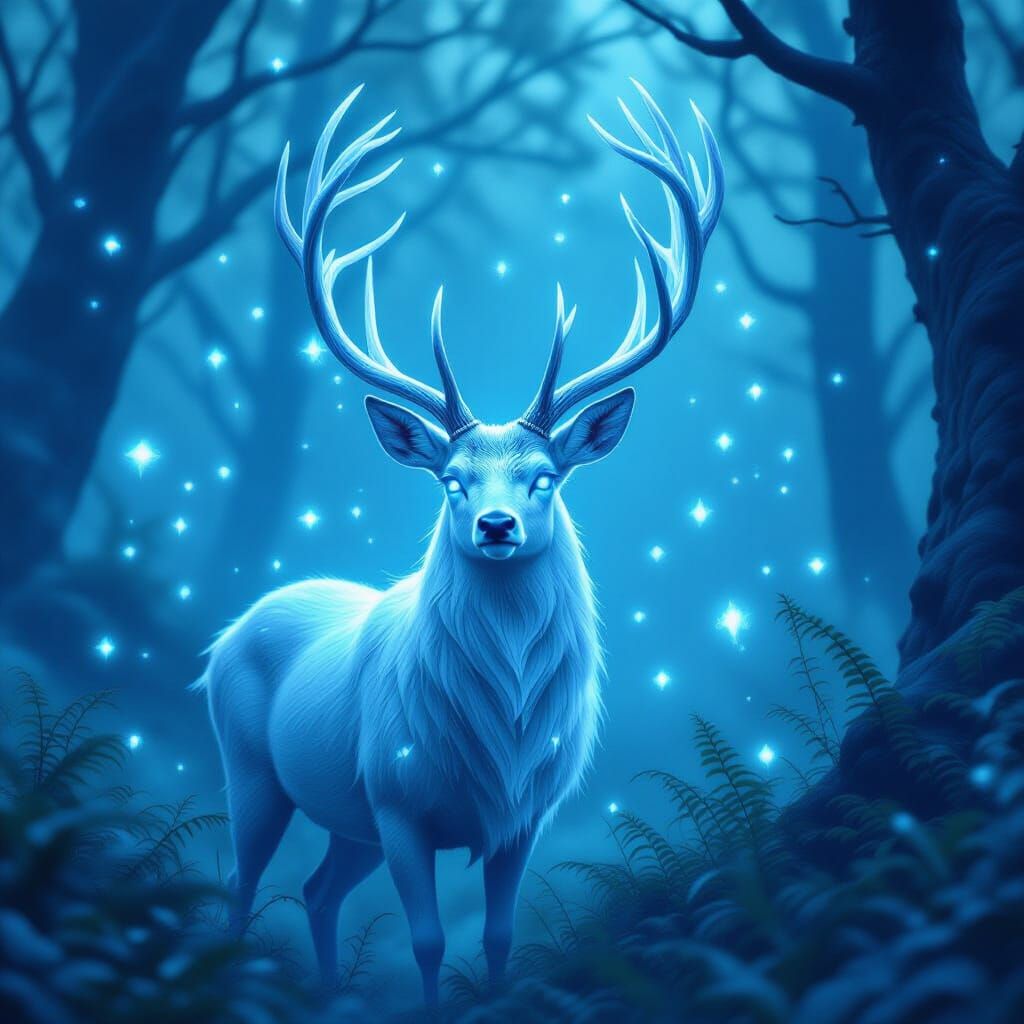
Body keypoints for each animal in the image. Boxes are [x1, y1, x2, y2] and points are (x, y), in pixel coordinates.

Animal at [197, 81, 722, 1005]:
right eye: (451, 479)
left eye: (546, 477)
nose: (496, 525)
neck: (497, 739)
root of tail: (224, 636)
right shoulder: (398, 801)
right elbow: (429, 939)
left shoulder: (526, 813)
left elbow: (502, 934)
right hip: (253, 769)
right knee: (241, 879)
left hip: (347, 822)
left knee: (318, 888)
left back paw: (329, 995)